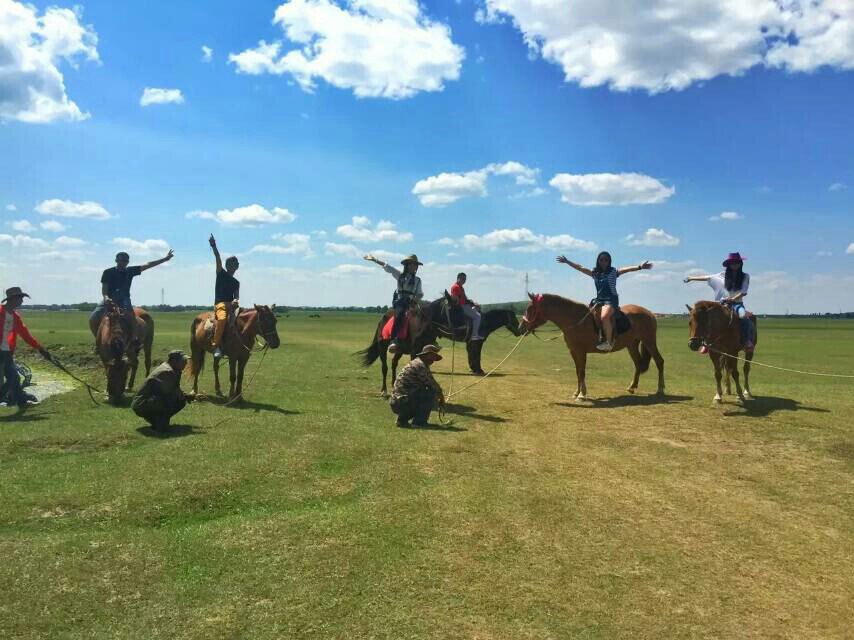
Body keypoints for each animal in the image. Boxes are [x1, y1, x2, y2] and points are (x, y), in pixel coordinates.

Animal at [520, 294, 664, 400]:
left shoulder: (581, 352)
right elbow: (577, 372)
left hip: (649, 342)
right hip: (632, 345)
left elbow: (582, 372)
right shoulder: (573, 352)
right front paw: (576, 392)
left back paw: (660, 389)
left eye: (530, 309)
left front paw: (582, 394)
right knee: (638, 364)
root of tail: (650, 313)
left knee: (659, 361)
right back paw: (632, 387)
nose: (520, 328)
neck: (574, 319)